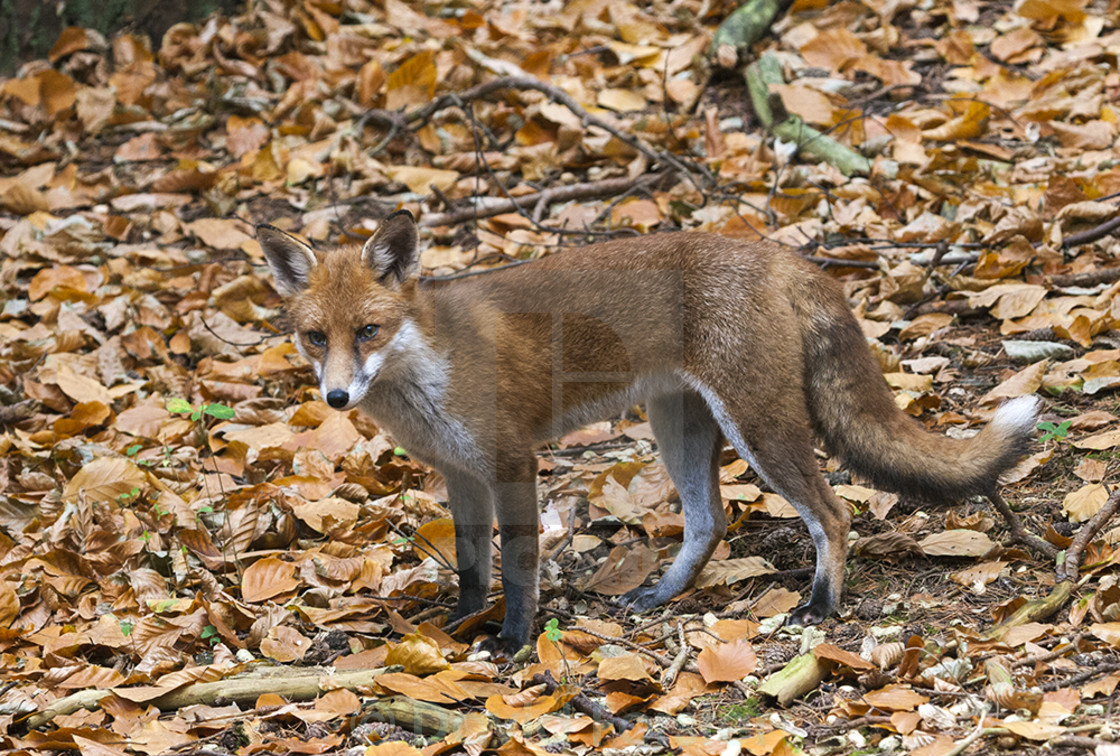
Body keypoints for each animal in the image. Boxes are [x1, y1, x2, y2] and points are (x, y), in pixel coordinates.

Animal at [257, 209, 1034, 654]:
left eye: (369, 330)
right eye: (315, 337)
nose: (335, 395)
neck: (426, 368)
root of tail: (784, 255)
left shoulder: (511, 462)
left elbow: (519, 565)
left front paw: (512, 642)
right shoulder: (461, 473)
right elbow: (474, 567)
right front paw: (462, 626)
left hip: (759, 426)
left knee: (834, 515)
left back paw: (820, 606)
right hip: (680, 427)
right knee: (709, 520)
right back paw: (661, 595)